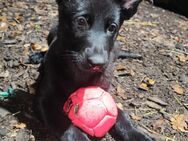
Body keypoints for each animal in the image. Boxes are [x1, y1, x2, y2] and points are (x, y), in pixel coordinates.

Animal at [33, 0, 154, 140]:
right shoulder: (44, 100)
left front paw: (137, 134)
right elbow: (68, 128)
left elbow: (122, 116)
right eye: (81, 21)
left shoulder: (106, 96)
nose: (98, 63)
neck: (80, 75)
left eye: (112, 27)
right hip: (52, 31)